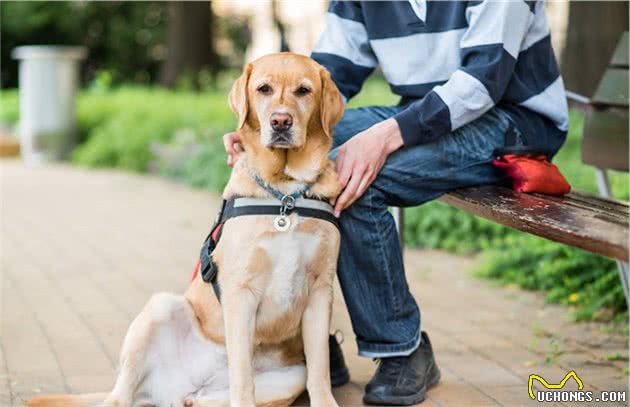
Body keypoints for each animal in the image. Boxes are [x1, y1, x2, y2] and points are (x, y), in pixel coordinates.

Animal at [27, 52, 346, 406]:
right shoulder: (240, 292)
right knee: (119, 395)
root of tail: (177, 389)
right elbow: (242, 373)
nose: (281, 121)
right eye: (264, 89)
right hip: (160, 307)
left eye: (304, 91)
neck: (285, 195)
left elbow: (319, 370)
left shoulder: (320, 291)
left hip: (286, 379)